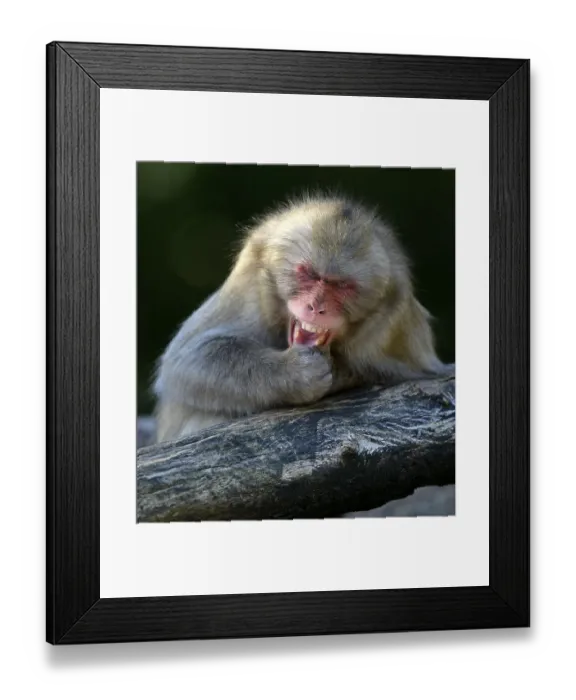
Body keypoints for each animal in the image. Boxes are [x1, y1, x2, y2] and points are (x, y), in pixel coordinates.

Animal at [151, 192, 447, 443]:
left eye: (341, 286)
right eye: (309, 274)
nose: (315, 307)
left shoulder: (393, 330)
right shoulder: (249, 290)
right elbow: (186, 361)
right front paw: (295, 373)